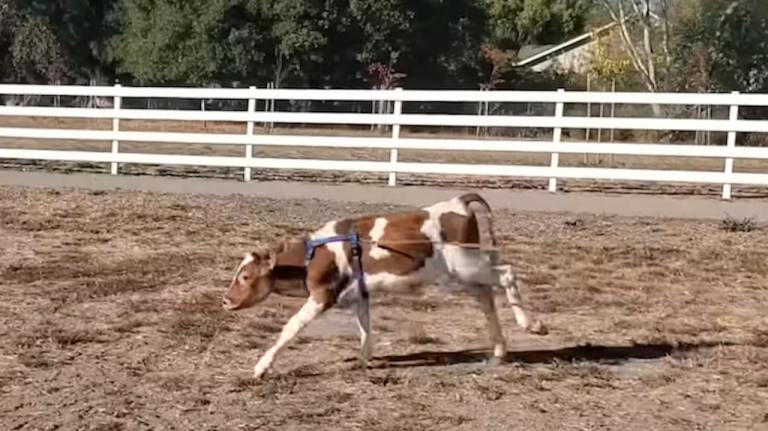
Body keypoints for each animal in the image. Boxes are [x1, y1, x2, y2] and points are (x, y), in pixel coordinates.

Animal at [222, 194, 544, 380]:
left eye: (246, 277)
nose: (226, 300)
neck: (311, 255)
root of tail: (458, 202)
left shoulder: (322, 295)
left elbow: (290, 328)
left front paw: (261, 367)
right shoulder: (360, 294)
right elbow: (365, 328)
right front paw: (363, 359)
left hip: (465, 265)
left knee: (506, 274)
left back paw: (531, 324)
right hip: (460, 275)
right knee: (486, 296)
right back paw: (499, 350)